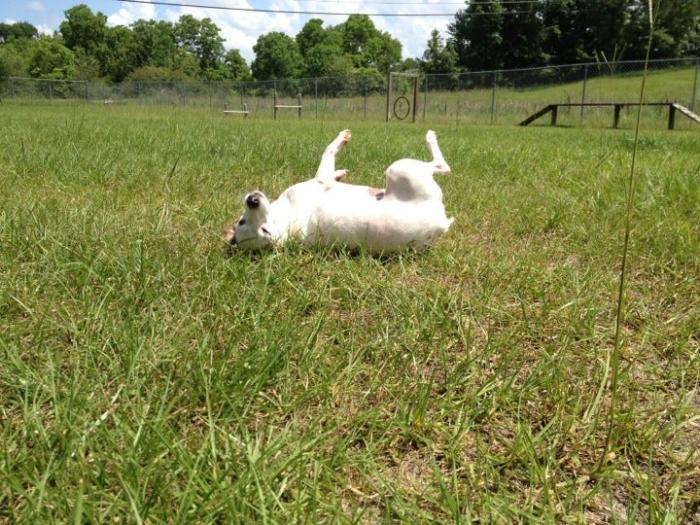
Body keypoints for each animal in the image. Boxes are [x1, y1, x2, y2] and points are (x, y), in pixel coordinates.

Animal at [224, 129, 453, 254]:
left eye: (241, 222)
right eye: (265, 231)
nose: (252, 200)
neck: (287, 219)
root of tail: (440, 224)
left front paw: (340, 173)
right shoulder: (320, 179)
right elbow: (328, 151)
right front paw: (341, 140)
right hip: (400, 168)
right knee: (443, 166)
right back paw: (430, 138)